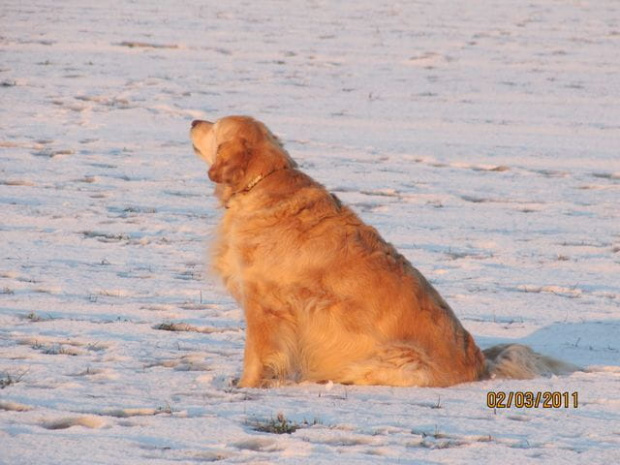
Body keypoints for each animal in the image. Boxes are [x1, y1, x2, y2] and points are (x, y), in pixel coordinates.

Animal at [188, 116, 576, 388]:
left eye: (215, 124)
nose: (193, 121)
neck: (262, 182)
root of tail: (480, 366)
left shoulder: (264, 304)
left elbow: (255, 353)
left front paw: (245, 386)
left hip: (392, 358)